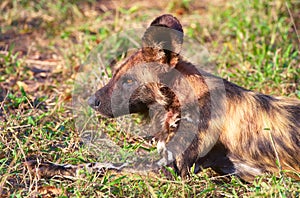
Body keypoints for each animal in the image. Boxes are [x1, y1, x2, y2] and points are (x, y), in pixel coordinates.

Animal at [27, 13, 298, 181]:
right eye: (114, 75)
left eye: (128, 81)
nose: (91, 101)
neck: (179, 103)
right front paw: (46, 165)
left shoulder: (171, 172)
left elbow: (99, 167)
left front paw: (49, 168)